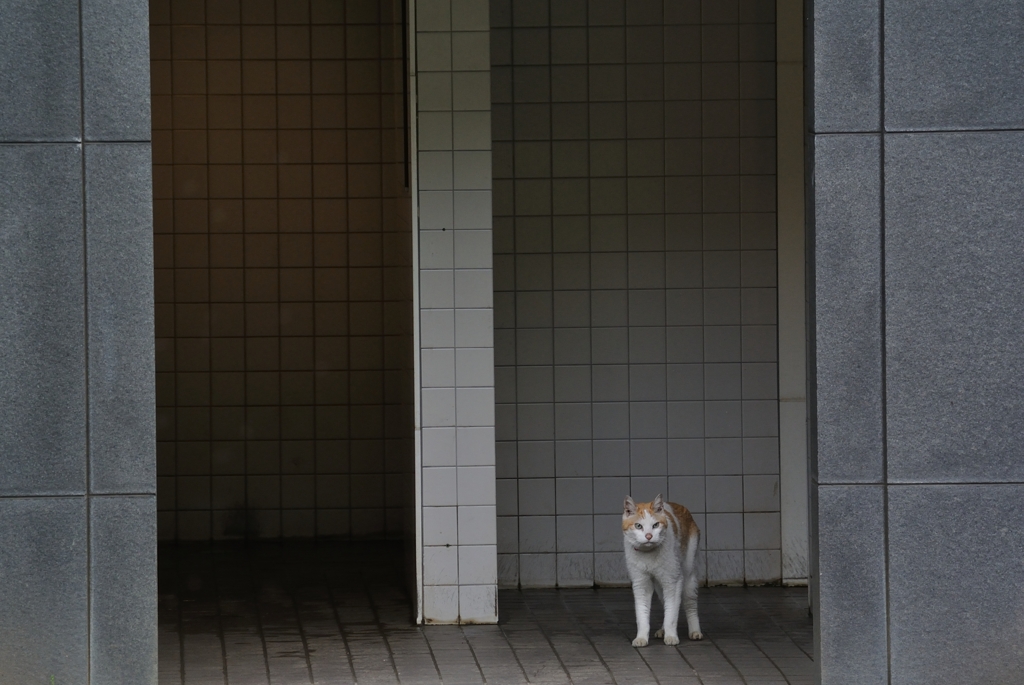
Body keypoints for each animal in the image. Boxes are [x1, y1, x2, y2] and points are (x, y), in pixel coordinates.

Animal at [618, 491, 700, 647]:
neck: (648, 555)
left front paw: (671, 636)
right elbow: (642, 613)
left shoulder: (673, 580)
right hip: (660, 585)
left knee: (689, 603)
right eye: (638, 526)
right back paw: (662, 630)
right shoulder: (641, 583)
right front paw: (641, 638)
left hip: (687, 576)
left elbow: (672, 613)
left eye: (655, 525)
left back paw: (695, 631)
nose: (649, 536)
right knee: (665, 603)